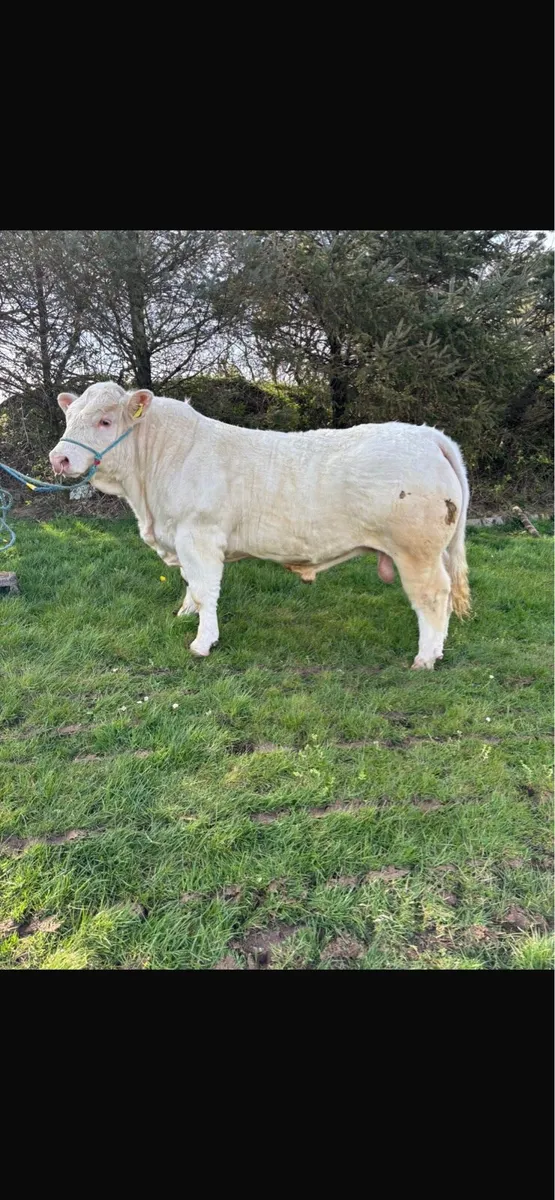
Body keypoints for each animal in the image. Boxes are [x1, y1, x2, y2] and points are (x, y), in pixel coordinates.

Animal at [49, 382, 471, 668]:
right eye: (68, 418)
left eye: (104, 421)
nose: (59, 458)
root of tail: (427, 434)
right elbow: (190, 584)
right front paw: (185, 613)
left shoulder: (198, 536)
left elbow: (205, 589)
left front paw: (203, 642)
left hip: (416, 551)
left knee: (433, 596)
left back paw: (426, 657)